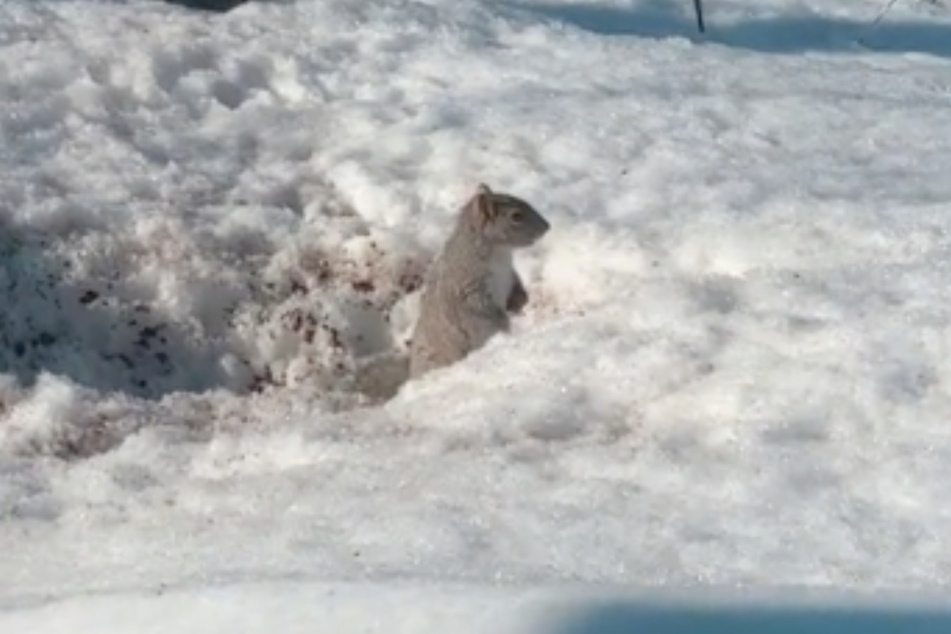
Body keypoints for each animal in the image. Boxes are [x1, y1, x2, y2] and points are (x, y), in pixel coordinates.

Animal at [410, 180, 552, 378]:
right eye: (516, 216)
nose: (547, 226)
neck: (500, 253)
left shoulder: (509, 274)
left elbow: (517, 288)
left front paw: (520, 301)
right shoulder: (468, 288)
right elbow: (481, 312)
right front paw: (503, 321)